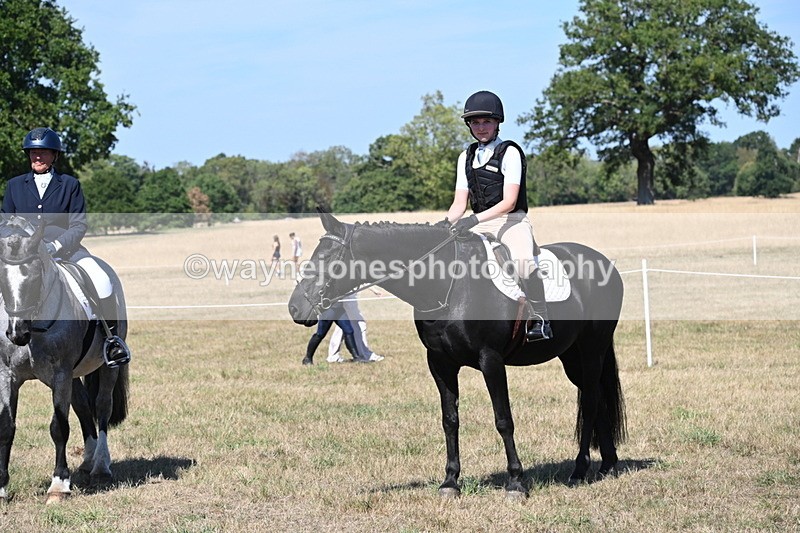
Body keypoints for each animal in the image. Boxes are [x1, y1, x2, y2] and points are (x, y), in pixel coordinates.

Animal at [0, 216, 129, 504]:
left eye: (35, 276)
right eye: (1, 277)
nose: (17, 333)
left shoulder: (60, 374)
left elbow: (59, 426)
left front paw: (59, 485)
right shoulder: (7, 376)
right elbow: (6, 426)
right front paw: (1, 487)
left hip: (107, 367)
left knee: (102, 407)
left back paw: (101, 466)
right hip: (74, 375)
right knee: (82, 405)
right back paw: (88, 460)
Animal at [288, 210, 626, 498]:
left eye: (328, 259)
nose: (295, 308)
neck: (446, 285)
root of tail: (604, 262)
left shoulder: (491, 360)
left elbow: (503, 419)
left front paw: (516, 482)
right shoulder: (440, 363)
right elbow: (450, 420)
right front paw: (450, 481)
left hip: (592, 348)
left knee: (591, 400)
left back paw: (580, 470)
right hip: (571, 355)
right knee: (594, 396)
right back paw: (607, 465)